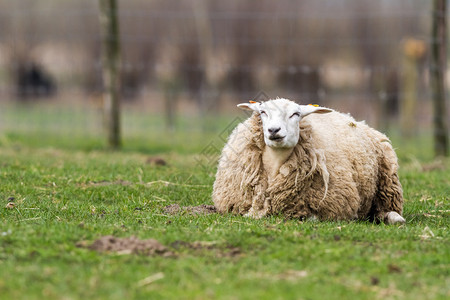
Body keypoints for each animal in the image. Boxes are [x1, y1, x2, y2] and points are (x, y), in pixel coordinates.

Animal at [213, 97, 406, 224]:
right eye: (262, 112)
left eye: (296, 114)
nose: (273, 130)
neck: (274, 166)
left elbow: (312, 217)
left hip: (388, 182)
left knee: (386, 209)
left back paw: (394, 217)